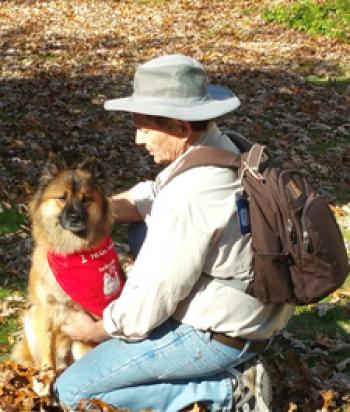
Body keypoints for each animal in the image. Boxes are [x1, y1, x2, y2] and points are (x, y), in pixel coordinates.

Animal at [11, 165, 116, 374]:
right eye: (62, 197)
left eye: (86, 198)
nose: (76, 217)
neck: (71, 251)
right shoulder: (44, 311)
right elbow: (47, 354)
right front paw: (47, 376)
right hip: (30, 320)